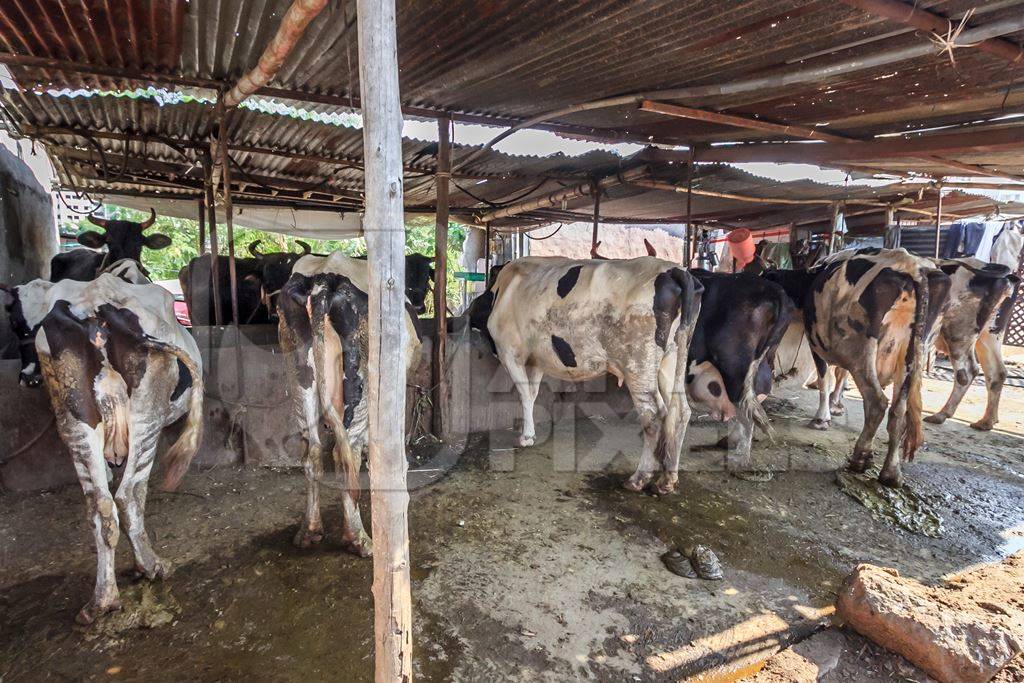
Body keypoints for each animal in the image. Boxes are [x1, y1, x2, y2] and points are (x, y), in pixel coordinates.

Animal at [7, 270, 203, 618]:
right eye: (15, 322)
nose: (28, 377)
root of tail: (94, 306)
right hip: (146, 414)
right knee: (128, 495)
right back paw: (149, 567)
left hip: (76, 418)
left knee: (101, 504)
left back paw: (103, 598)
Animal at [276, 253, 419, 552]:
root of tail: (322, 281)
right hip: (360, 380)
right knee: (345, 454)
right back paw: (359, 538)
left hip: (298, 374)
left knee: (313, 453)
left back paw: (309, 531)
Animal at [471, 253, 704, 493]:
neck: (503, 289)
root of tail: (675, 270)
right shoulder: (537, 359)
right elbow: (532, 393)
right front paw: (530, 433)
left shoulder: (509, 351)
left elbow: (524, 393)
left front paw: (525, 437)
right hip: (672, 357)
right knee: (680, 410)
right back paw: (668, 479)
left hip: (639, 364)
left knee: (654, 415)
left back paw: (638, 478)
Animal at [765, 248, 946, 489]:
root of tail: (913, 267)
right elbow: (840, 375)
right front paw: (835, 407)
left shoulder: (817, 344)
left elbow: (824, 379)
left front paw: (822, 418)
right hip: (913, 353)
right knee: (898, 411)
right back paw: (891, 472)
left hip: (863, 350)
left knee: (877, 402)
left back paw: (861, 457)